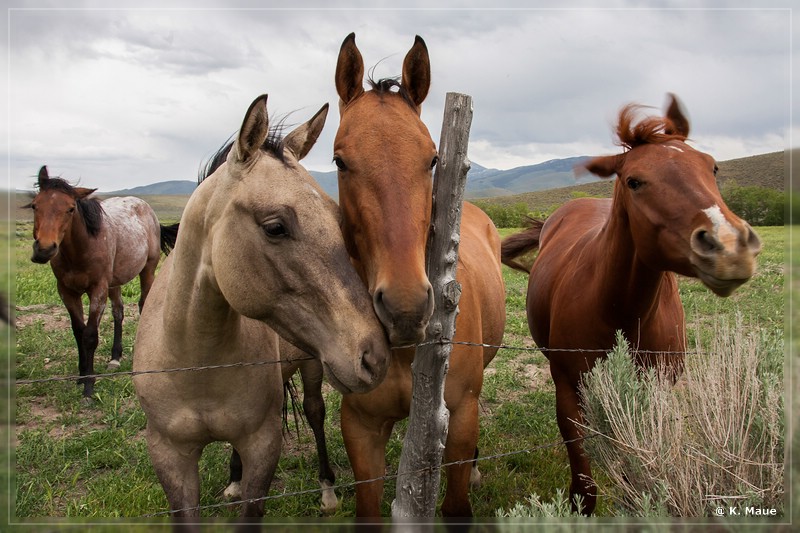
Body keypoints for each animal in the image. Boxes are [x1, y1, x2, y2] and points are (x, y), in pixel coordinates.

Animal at [25, 166, 178, 400]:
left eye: (70, 209)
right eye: (35, 205)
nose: (44, 249)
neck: (80, 250)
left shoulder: (98, 290)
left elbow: (90, 335)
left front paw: (89, 386)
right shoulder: (67, 291)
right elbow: (78, 331)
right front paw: (81, 376)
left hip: (147, 270)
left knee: (143, 304)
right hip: (114, 282)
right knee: (118, 312)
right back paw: (115, 357)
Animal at [132, 93, 390, 520]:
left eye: (338, 218)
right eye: (275, 227)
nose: (375, 357)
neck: (196, 362)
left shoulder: (263, 445)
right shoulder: (168, 455)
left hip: (313, 364)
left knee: (315, 411)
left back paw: (327, 490)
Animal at [332, 32, 506, 516]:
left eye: (432, 160)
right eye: (339, 161)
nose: (405, 309)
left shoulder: (460, 417)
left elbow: (457, 504)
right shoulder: (362, 427)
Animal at [500, 93, 764, 512]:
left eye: (713, 166)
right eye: (634, 181)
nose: (729, 245)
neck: (621, 313)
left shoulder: (657, 394)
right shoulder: (567, 388)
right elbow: (584, 484)